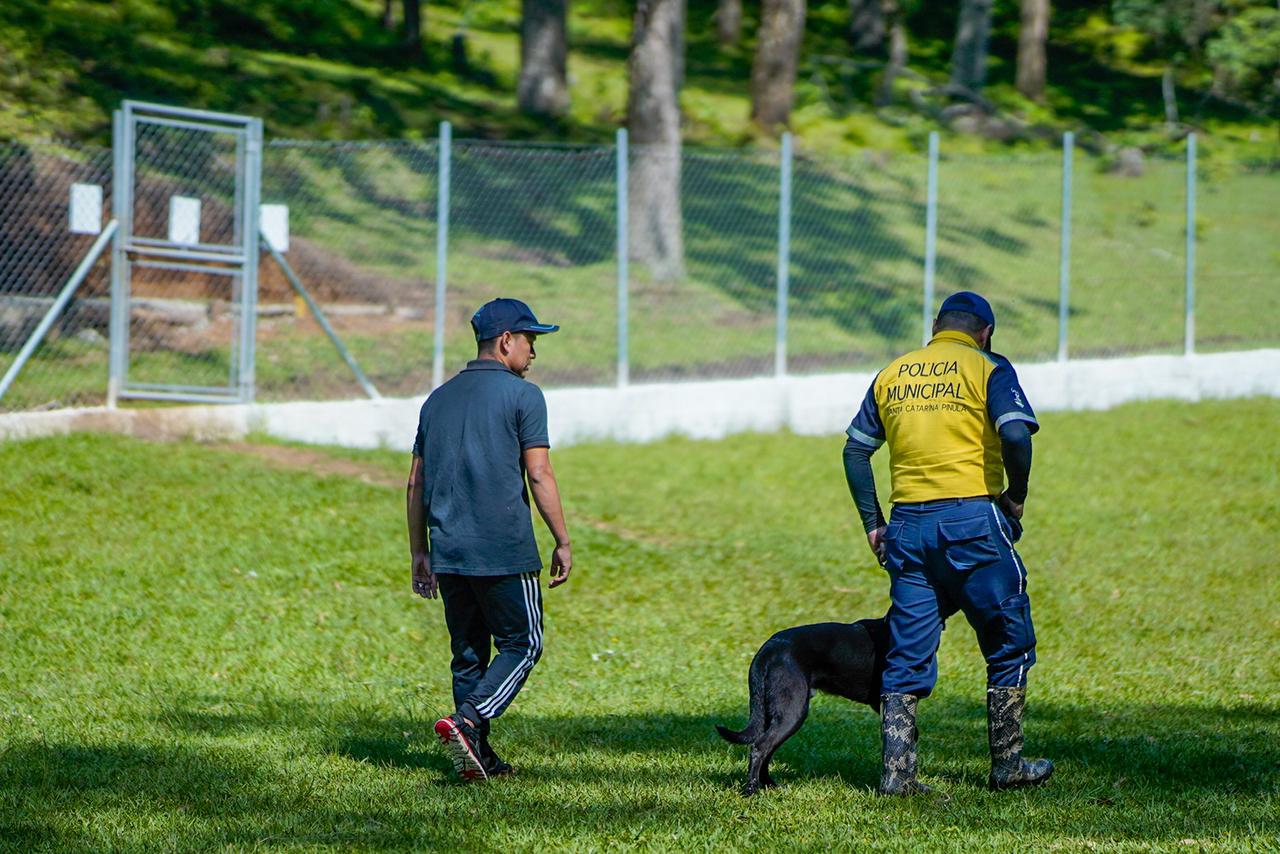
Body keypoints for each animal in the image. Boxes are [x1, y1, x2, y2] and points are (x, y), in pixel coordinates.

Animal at [716, 617, 885, 798]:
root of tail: (768, 648)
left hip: (772, 714)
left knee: (766, 749)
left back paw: (770, 785)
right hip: (792, 712)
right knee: (759, 747)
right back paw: (752, 790)